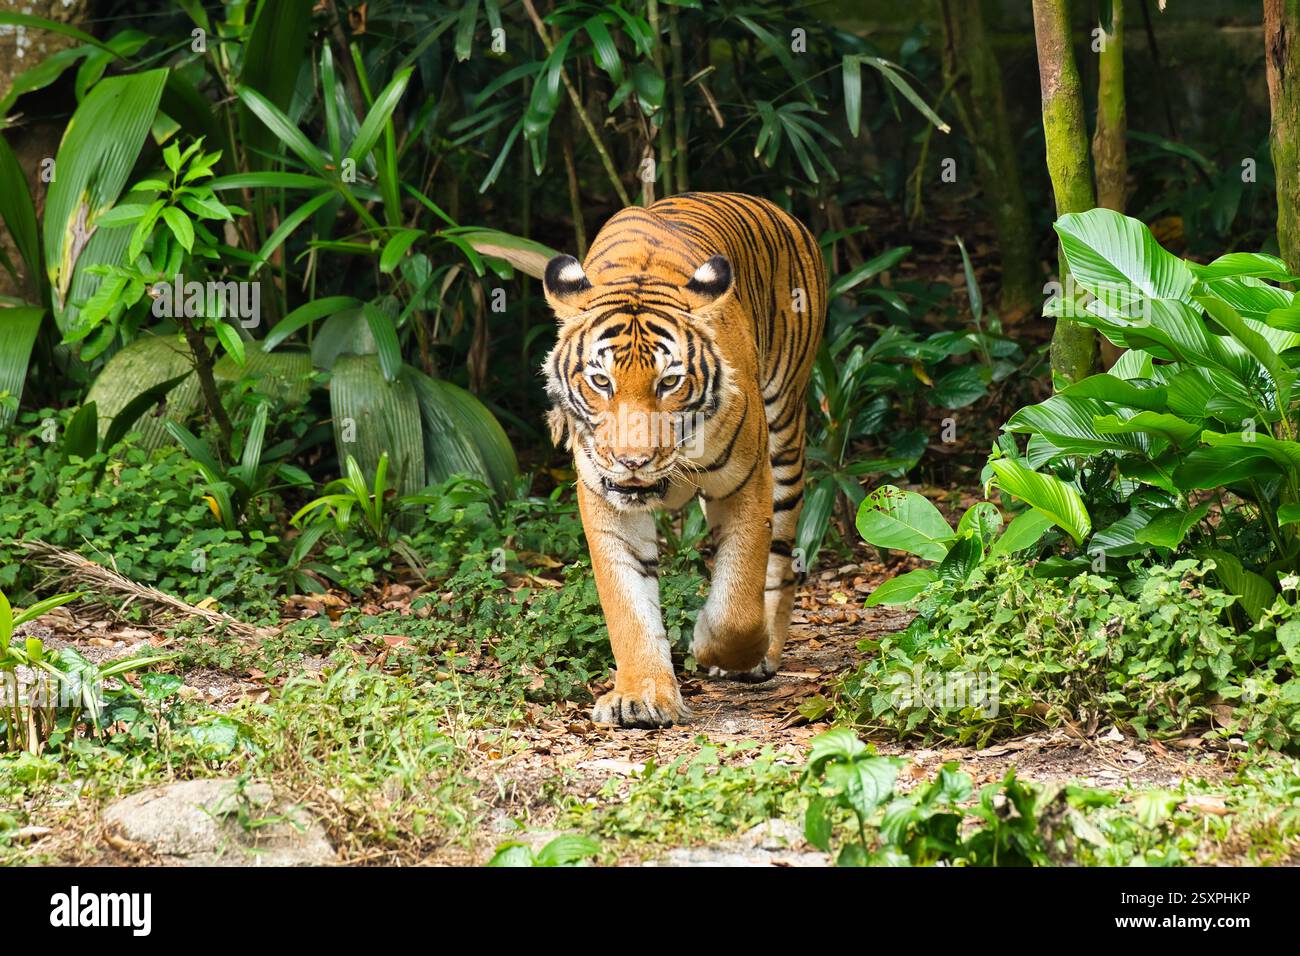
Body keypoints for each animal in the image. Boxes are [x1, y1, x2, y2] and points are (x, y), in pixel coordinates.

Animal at [542, 192, 826, 728]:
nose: (632, 460)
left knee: (780, 560)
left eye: (668, 382)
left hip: (785, 431)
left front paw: (715, 647)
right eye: (601, 381)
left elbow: (738, 604)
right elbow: (627, 604)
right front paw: (641, 695)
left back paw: (764, 656)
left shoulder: (747, 482)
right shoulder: (604, 498)